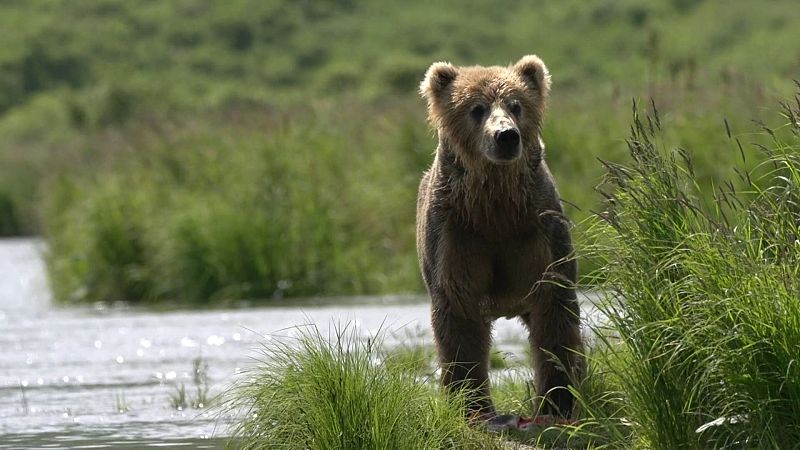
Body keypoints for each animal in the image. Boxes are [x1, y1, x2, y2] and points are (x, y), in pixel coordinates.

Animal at [416, 55, 583, 420]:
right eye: (476, 108)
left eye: (516, 105)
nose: (506, 136)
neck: (494, 207)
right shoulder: (457, 233)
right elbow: (459, 315)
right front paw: (471, 404)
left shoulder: (537, 231)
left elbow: (554, 311)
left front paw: (557, 400)